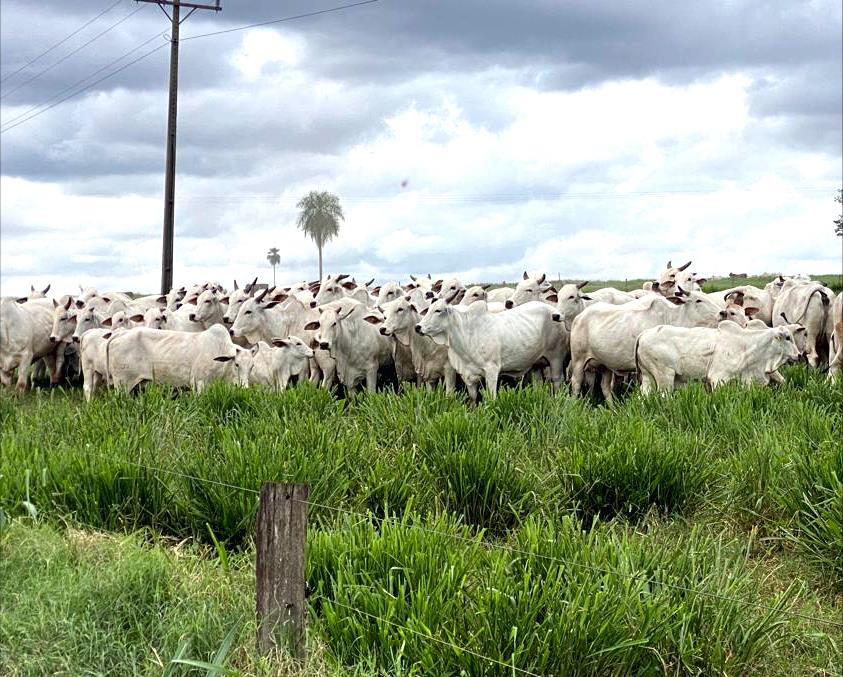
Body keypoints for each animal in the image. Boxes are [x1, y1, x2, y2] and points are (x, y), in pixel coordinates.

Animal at [105, 324, 244, 394]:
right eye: (236, 364)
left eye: (249, 367)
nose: (244, 387)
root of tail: (121, 333)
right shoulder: (200, 383)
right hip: (122, 383)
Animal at [418, 298, 564, 398]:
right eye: (428, 310)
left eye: (438, 310)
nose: (417, 327)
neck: (467, 333)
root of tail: (554, 312)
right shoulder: (468, 376)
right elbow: (473, 399)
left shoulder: (492, 371)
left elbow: (491, 398)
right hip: (536, 365)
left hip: (556, 359)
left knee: (557, 382)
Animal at [572, 286, 724, 402]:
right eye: (698, 300)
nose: (722, 312)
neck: (673, 318)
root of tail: (579, 317)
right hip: (578, 360)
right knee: (576, 383)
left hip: (605, 365)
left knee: (605, 387)